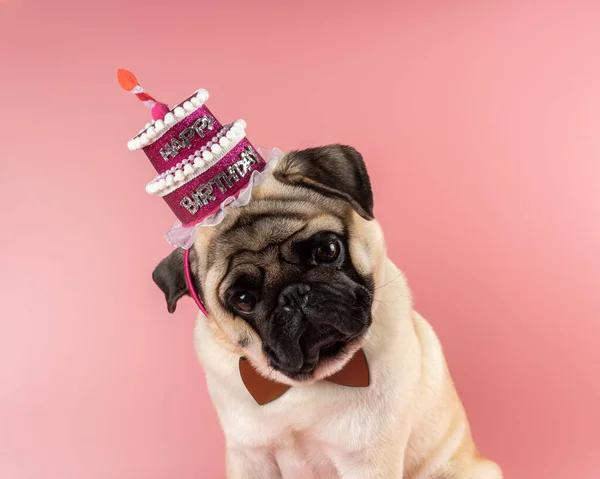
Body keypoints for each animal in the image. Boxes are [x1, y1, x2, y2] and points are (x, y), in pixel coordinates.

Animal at [152, 144, 500, 478]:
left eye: (327, 250)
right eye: (243, 299)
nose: (293, 294)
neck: (304, 387)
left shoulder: (368, 460)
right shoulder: (250, 456)